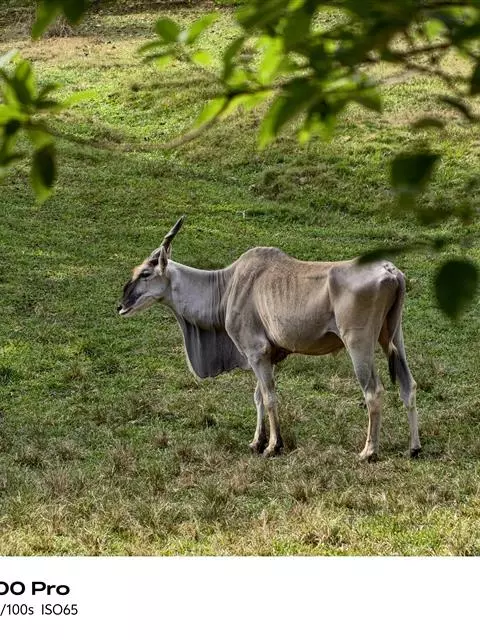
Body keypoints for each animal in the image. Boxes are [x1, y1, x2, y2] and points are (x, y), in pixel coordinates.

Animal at [118, 217, 420, 461]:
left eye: (145, 273)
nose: (120, 306)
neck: (227, 285)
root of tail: (391, 272)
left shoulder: (256, 352)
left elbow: (269, 396)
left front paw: (273, 446)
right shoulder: (267, 355)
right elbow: (258, 396)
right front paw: (256, 442)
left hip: (359, 344)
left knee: (373, 391)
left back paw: (368, 451)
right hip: (394, 336)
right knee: (408, 384)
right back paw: (414, 448)